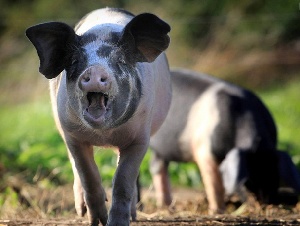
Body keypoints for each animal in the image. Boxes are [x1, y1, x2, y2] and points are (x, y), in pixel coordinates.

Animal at [26, 7, 171, 226]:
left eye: (120, 61)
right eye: (75, 61)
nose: (94, 71)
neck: (105, 135)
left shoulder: (140, 138)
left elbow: (123, 182)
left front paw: (117, 223)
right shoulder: (73, 136)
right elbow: (89, 176)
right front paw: (97, 221)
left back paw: (133, 215)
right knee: (75, 170)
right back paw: (81, 211)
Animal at [149, 68, 300, 215]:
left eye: (275, 176)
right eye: (247, 180)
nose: (264, 204)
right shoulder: (204, 151)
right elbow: (215, 184)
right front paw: (217, 212)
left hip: (159, 153)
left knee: (157, 166)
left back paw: (168, 208)